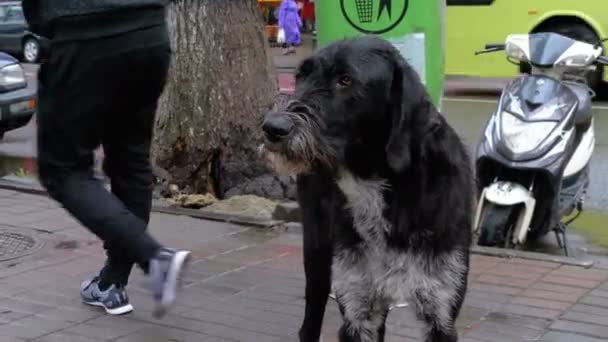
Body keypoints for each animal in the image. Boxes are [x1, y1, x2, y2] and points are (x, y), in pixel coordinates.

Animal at [262, 36, 476, 340]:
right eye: (300, 76)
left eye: (345, 80)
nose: (272, 128)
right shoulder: (358, 309)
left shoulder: (441, 310)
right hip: (317, 252)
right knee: (309, 322)